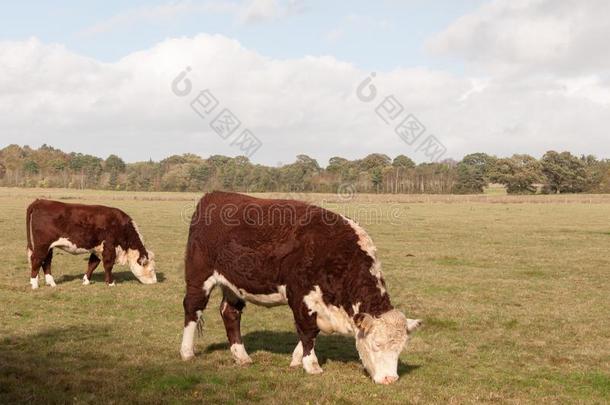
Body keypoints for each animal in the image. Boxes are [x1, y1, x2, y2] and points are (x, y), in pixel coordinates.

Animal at [26, 199, 157, 288]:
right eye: (151, 270)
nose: (155, 282)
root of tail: (40, 201)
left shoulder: (97, 249)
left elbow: (92, 264)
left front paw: (86, 281)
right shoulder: (109, 247)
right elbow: (108, 265)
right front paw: (110, 283)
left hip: (49, 247)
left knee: (46, 262)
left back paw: (51, 283)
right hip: (42, 245)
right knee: (36, 259)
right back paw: (34, 284)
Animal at [180, 191, 418, 384]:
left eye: (400, 348)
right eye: (377, 344)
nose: (390, 379)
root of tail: (214, 195)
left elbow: (312, 334)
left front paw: (296, 360)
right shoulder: (301, 296)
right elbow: (308, 331)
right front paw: (311, 365)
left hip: (233, 284)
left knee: (230, 313)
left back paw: (242, 357)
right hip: (198, 276)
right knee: (193, 309)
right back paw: (187, 352)